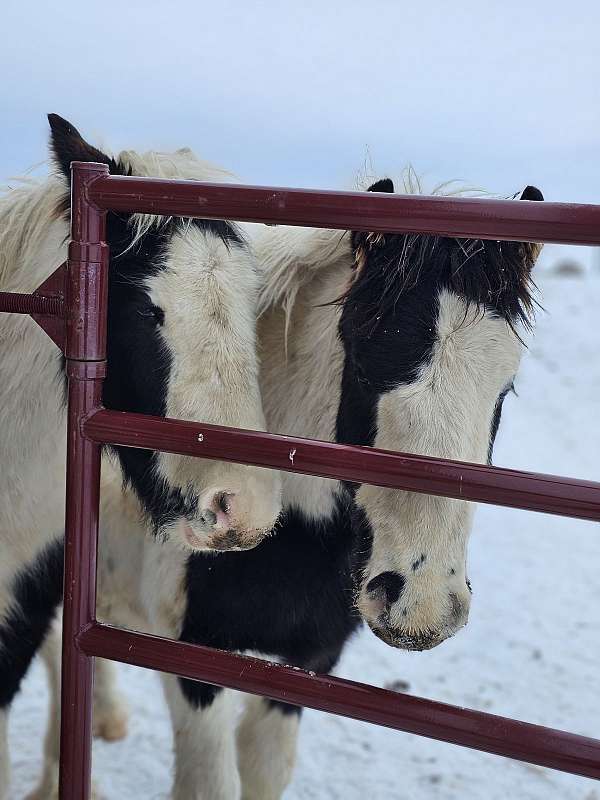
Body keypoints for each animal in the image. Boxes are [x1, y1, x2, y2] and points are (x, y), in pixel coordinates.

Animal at [52, 173, 544, 792]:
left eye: (507, 387)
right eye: (365, 362)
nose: (422, 606)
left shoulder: (309, 663)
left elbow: (267, 771)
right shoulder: (192, 661)